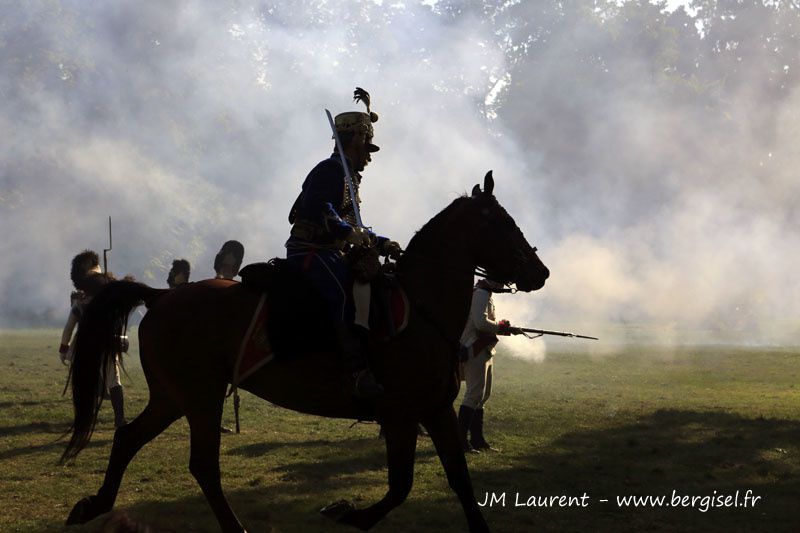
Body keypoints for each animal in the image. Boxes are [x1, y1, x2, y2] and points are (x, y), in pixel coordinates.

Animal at [64, 172, 552, 528]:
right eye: (501, 222)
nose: (541, 271)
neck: (421, 308)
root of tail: (161, 296)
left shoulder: (434, 409)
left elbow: (460, 480)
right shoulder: (400, 415)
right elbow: (401, 485)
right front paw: (349, 514)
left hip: (174, 397)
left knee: (130, 438)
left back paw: (93, 505)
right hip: (200, 397)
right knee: (203, 465)